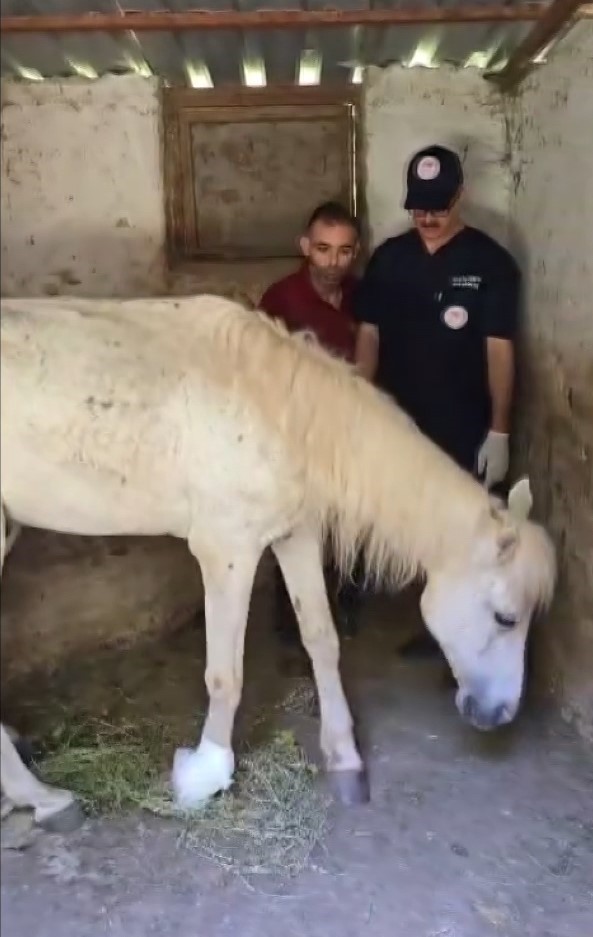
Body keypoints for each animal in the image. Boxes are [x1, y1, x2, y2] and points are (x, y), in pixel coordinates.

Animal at [0, 292, 556, 828]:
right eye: (506, 618)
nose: (501, 715)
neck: (277, 412)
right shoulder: (227, 549)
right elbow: (225, 675)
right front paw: (204, 775)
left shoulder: (296, 536)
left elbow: (322, 641)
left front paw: (345, 758)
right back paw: (45, 798)